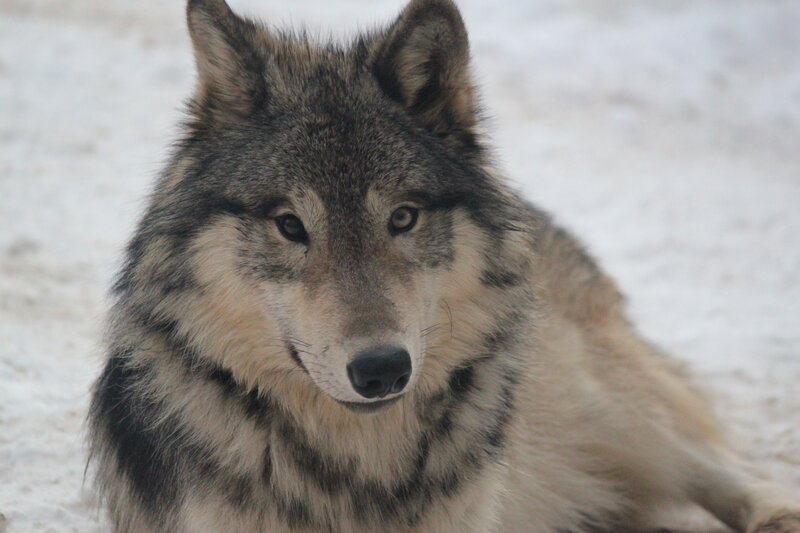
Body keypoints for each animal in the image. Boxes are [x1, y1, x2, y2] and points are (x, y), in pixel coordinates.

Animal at [87, 0, 800, 531]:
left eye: (403, 218)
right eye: (291, 225)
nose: (381, 368)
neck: (362, 468)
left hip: (613, 405)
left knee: (739, 471)